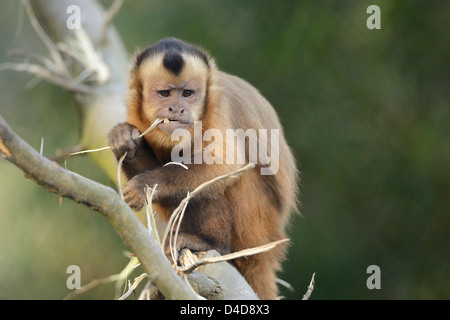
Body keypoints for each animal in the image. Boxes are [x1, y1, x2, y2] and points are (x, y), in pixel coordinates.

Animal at [108, 38, 298, 300]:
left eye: (187, 94)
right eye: (165, 94)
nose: (177, 109)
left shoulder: (219, 105)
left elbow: (226, 164)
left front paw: (144, 185)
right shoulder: (135, 111)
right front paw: (123, 138)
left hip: (257, 228)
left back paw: (211, 243)